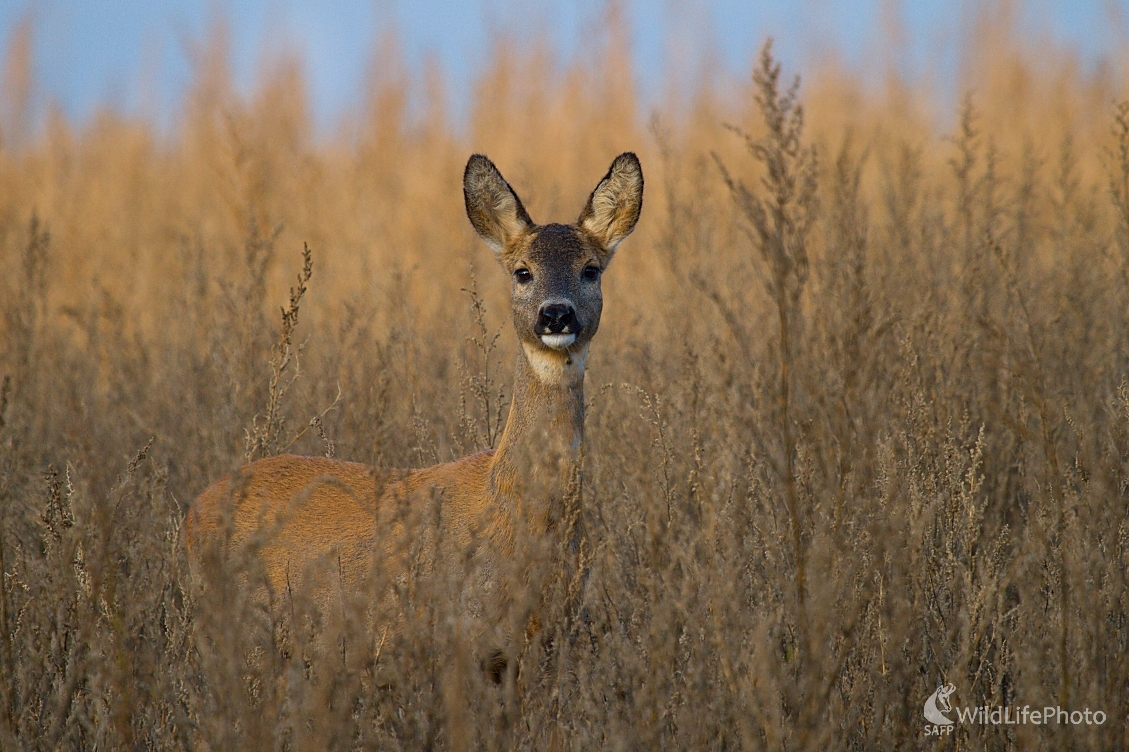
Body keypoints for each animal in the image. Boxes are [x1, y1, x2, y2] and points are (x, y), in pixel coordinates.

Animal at [185, 152, 645, 677]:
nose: (556, 315)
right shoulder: (458, 639)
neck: (515, 512)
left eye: (591, 269)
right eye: (522, 271)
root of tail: (192, 512)